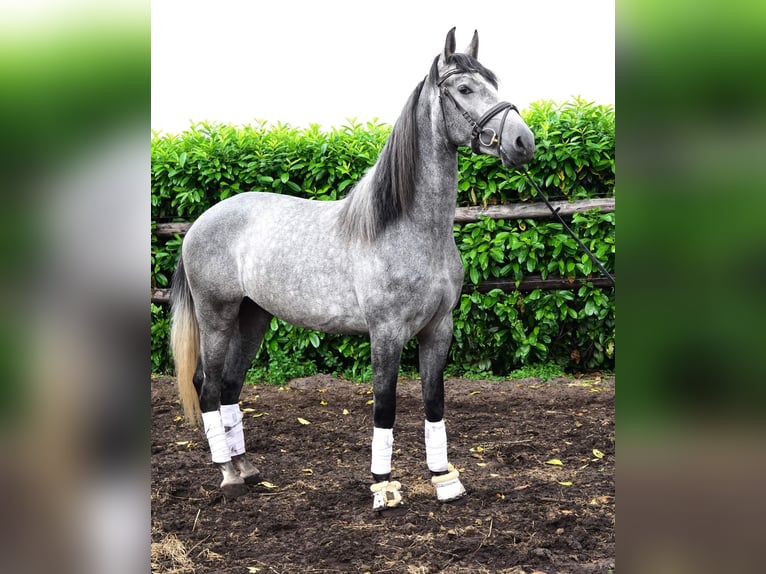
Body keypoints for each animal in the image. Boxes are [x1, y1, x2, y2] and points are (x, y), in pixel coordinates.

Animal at [170, 27, 535, 510]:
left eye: (492, 82)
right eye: (464, 89)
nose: (524, 143)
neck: (407, 228)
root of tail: (199, 223)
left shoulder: (438, 328)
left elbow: (434, 402)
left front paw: (443, 479)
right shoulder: (387, 333)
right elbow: (385, 406)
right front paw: (383, 486)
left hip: (254, 317)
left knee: (230, 385)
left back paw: (245, 467)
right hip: (217, 315)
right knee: (207, 386)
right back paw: (227, 472)